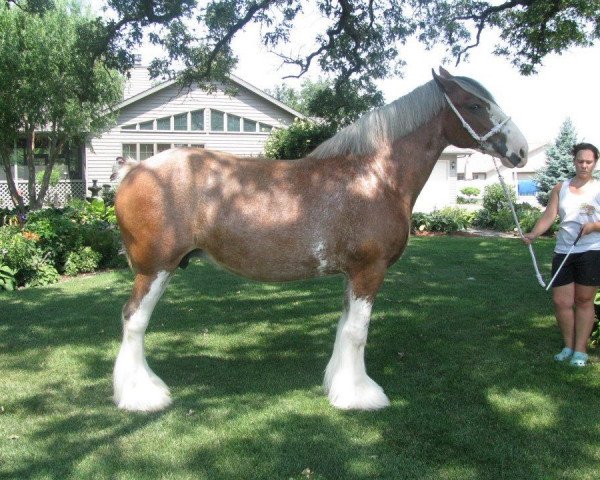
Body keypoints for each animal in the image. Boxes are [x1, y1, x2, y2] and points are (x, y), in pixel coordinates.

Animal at [111, 66, 524, 412]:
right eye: (474, 104)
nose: (520, 150)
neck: (374, 176)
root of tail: (136, 168)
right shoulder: (369, 270)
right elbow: (357, 333)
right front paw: (361, 397)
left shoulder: (352, 275)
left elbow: (344, 327)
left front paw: (339, 386)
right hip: (155, 269)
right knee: (134, 320)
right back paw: (141, 396)